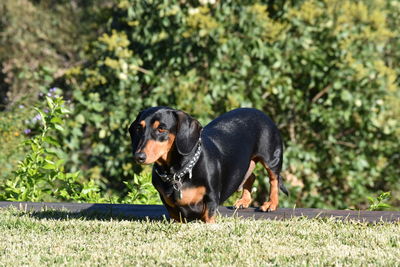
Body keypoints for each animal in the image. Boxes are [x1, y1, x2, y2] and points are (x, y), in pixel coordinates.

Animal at [130, 107, 290, 224]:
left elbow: (209, 216)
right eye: (139, 128)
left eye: (161, 129)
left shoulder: (211, 198)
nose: (139, 156)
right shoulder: (170, 204)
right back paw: (244, 201)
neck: (179, 171)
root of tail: (259, 111)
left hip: (271, 158)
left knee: (274, 179)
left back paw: (271, 204)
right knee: (251, 177)